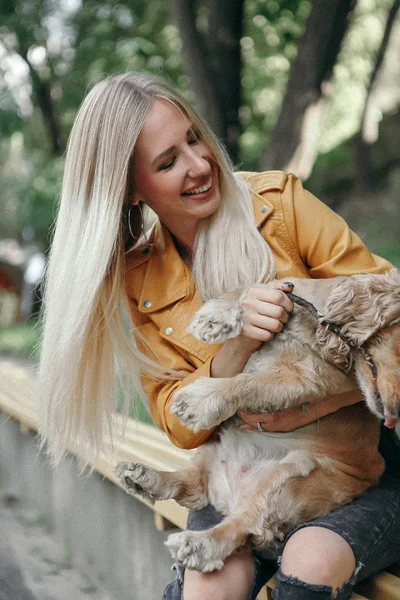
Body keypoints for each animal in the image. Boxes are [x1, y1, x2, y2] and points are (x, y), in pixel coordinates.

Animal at [115, 270, 400, 572]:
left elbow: (250, 383)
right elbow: (246, 288)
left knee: (246, 521)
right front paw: (215, 317)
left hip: (293, 475)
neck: (316, 329)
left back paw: (200, 543)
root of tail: (230, 500)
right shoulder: (286, 289)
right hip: (213, 448)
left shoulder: (307, 381)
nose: (396, 413)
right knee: (189, 482)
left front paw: (200, 399)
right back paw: (142, 476)